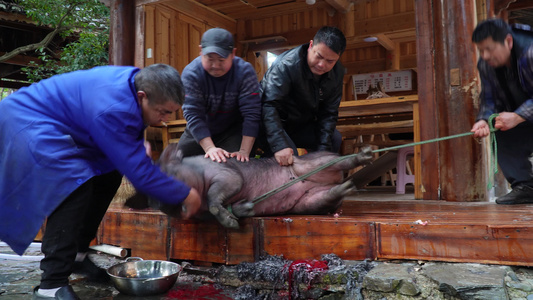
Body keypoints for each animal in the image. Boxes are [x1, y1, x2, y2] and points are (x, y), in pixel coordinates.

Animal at [227, 112, 500, 213]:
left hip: (315, 168)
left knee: (338, 166)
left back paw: (359, 164)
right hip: (309, 195)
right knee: (330, 190)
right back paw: (349, 182)